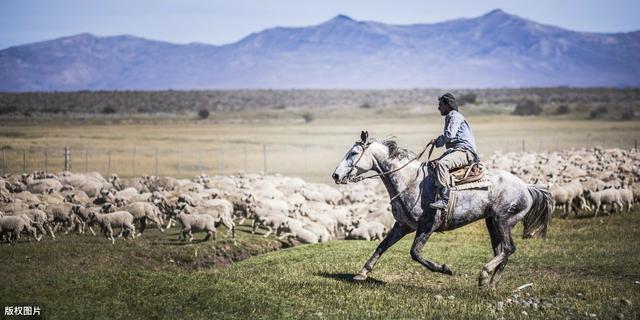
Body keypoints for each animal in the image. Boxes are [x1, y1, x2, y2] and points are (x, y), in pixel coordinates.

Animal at [332, 131, 552, 288]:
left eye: (353, 153)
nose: (335, 175)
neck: (409, 181)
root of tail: (527, 187)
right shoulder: (403, 225)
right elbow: (382, 246)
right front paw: (362, 273)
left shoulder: (427, 226)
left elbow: (415, 253)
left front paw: (445, 269)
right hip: (492, 222)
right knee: (502, 251)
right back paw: (489, 284)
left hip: (503, 220)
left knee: (508, 248)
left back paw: (484, 275)